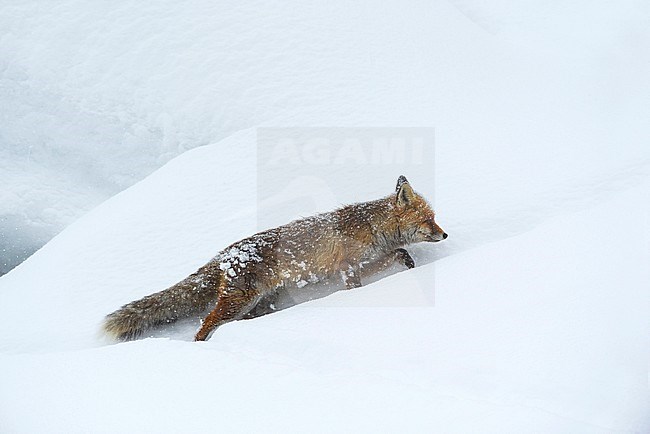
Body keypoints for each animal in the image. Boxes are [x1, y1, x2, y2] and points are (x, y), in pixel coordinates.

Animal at [102, 175, 446, 340]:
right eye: (429, 220)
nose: (444, 235)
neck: (372, 227)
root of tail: (225, 253)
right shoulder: (347, 268)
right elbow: (355, 287)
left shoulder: (363, 260)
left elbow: (396, 253)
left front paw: (407, 261)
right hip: (238, 301)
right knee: (206, 322)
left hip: (262, 304)